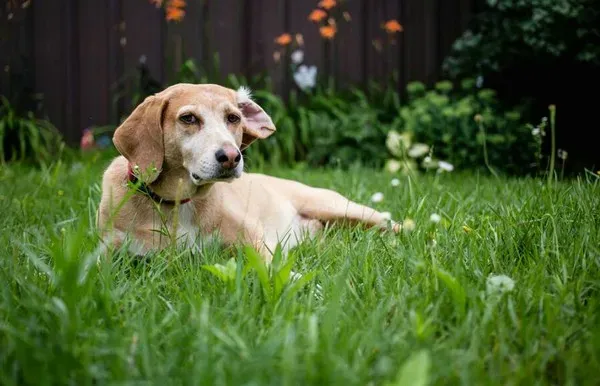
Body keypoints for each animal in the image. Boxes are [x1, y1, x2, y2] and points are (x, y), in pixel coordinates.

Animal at [96, 83, 400, 260]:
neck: (176, 204)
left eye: (234, 118)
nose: (231, 157)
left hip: (342, 209)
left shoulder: (254, 241)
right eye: (188, 118)